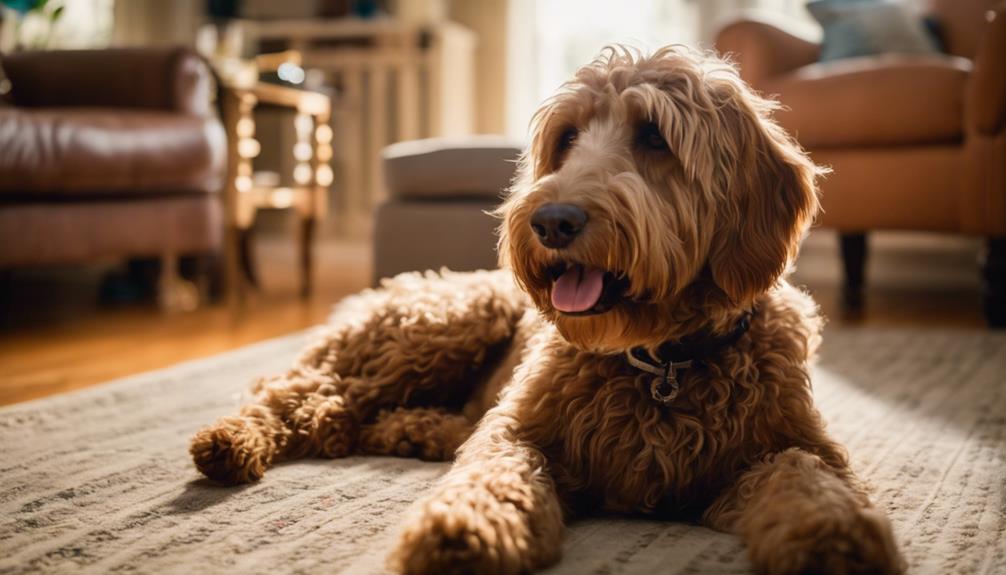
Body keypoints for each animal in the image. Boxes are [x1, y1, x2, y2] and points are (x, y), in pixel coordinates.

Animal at [189, 45, 905, 575]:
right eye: (567, 137)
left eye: (654, 137)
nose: (551, 220)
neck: (660, 363)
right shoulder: (519, 430)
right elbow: (496, 469)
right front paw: (464, 529)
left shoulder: (784, 444)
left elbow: (809, 478)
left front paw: (835, 536)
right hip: (443, 324)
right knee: (301, 393)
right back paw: (234, 440)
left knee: (349, 413)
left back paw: (409, 430)